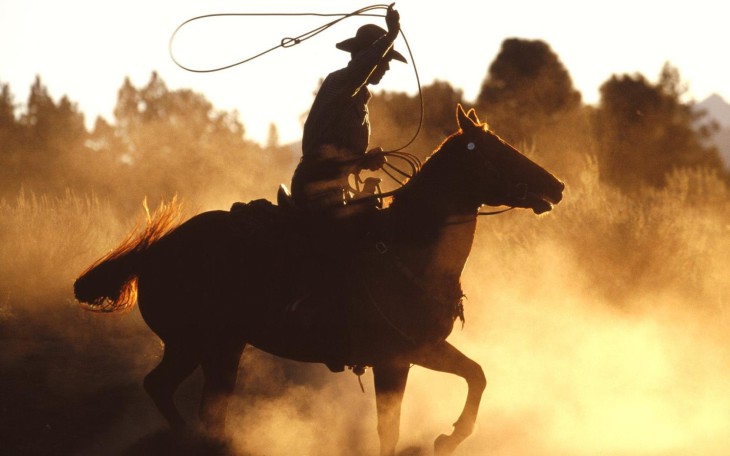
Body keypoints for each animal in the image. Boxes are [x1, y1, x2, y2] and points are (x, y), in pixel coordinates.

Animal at [74, 105, 564, 454]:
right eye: (497, 150)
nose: (557, 186)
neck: (410, 252)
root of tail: (156, 250)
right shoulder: (396, 358)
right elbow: (395, 424)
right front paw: (449, 436)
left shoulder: (418, 352)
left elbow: (474, 376)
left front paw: (450, 436)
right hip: (191, 343)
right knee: (161, 388)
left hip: (223, 348)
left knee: (208, 406)